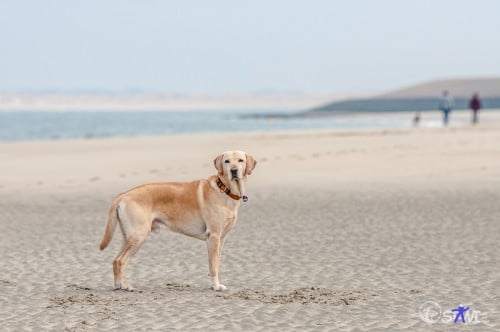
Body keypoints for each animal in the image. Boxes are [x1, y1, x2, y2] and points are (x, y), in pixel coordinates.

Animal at [98, 150, 256, 290]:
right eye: (227, 161)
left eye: (240, 160)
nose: (234, 171)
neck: (224, 189)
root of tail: (123, 194)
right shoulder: (214, 236)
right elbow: (213, 265)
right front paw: (216, 286)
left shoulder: (221, 239)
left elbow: (217, 261)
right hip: (139, 235)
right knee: (121, 261)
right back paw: (126, 286)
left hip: (128, 237)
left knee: (115, 260)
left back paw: (118, 285)